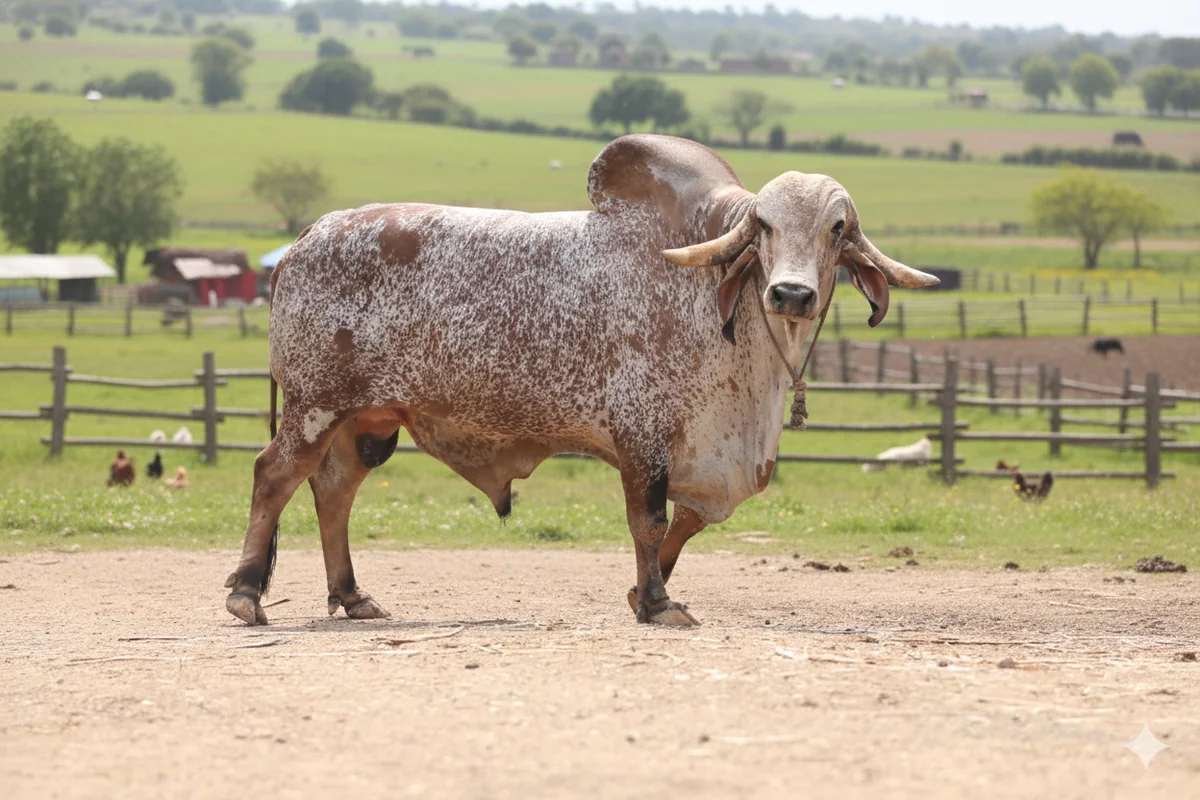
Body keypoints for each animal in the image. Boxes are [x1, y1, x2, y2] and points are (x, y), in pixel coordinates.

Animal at [222, 134, 938, 627]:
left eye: (837, 228)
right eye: (763, 226)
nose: (790, 293)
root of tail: (308, 235)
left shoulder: (707, 456)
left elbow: (683, 524)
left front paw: (643, 594)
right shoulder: (642, 435)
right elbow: (649, 520)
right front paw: (657, 603)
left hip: (365, 419)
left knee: (333, 489)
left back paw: (350, 595)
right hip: (314, 404)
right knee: (274, 476)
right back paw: (247, 592)